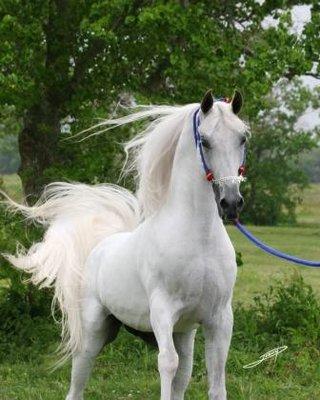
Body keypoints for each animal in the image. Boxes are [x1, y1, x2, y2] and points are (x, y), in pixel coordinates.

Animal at [3, 90, 250, 400]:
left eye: (242, 138)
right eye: (204, 140)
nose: (231, 203)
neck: (199, 239)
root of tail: (101, 245)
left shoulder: (219, 318)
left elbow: (215, 380)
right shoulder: (163, 312)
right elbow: (167, 364)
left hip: (183, 333)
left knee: (184, 370)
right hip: (94, 333)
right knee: (78, 381)